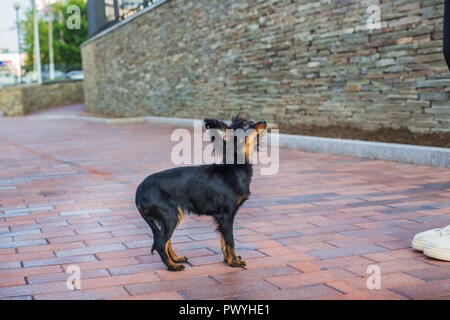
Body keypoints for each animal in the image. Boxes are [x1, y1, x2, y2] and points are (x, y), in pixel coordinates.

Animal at [135, 115, 266, 270]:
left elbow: (224, 241)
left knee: (167, 241)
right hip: (171, 216)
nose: (264, 122)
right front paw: (234, 262)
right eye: (245, 126)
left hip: (171, 217)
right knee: (161, 243)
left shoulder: (222, 219)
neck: (234, 168)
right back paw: (172, 267)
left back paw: (176, 259)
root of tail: (139, 191)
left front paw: (227, 260)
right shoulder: (226, 216)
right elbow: (231, 241)